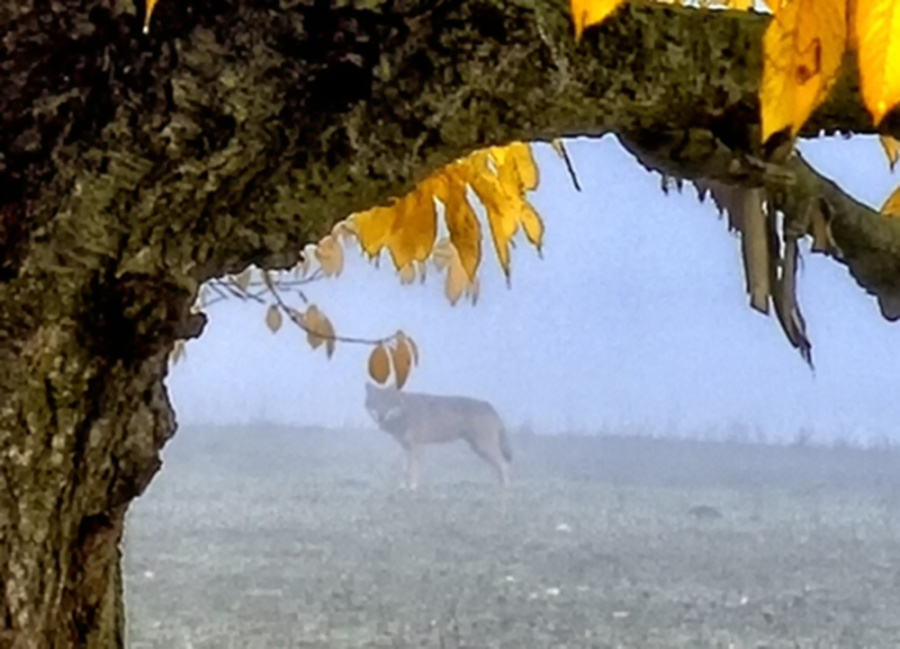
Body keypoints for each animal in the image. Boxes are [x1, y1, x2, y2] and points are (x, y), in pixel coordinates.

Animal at [362, 382, 510, 488]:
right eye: (376, 403)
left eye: (387, 403)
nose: (381, 416)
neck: (404, 414)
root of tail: (488, 405)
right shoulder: (405, 447)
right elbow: (404, 469)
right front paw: (402, 487)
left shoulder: (417, 447)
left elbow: (413, 470)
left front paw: (413, 488)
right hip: (478, 449)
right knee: (499, 467)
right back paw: (498, 487)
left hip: (483, 447)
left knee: (504, 465)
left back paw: (506, 488)